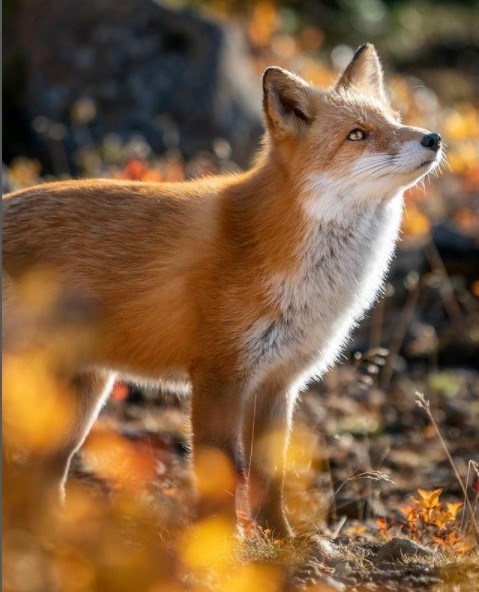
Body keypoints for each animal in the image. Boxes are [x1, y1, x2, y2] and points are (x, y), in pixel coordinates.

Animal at [2, 45, 442, 536]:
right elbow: (224, 471)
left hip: (80, 401)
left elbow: (270, 474)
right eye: (358, 134)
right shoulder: (219, 377)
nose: (433, 139)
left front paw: (283, 541)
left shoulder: (277, 384)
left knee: (44, 479)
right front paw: (221, 544)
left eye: (395, 120)